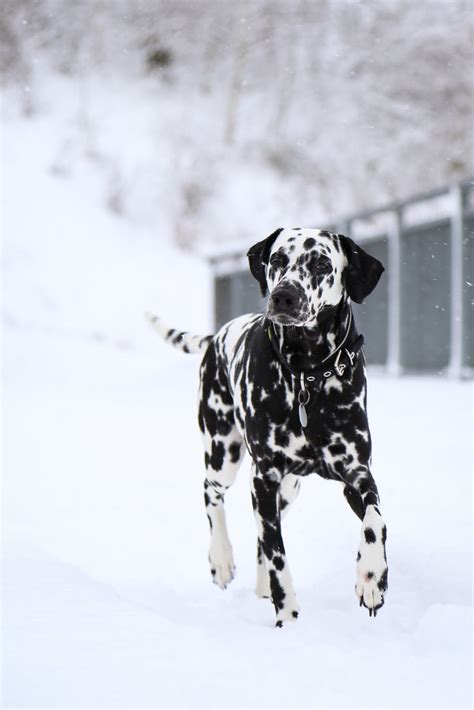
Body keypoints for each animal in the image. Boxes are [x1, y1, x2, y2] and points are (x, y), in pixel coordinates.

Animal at [148, 229, 388, 628]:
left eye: (322, 263)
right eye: (277, 259)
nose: (284, 296)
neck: (306, 375)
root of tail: (217, 335)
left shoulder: (357, 474)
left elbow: (376, 519)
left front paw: (371, 577)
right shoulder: (264, 477)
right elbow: (278, 559)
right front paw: (287, 618)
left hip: (286, 491)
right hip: (224, 454)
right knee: (212, 494)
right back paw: (222, 559)